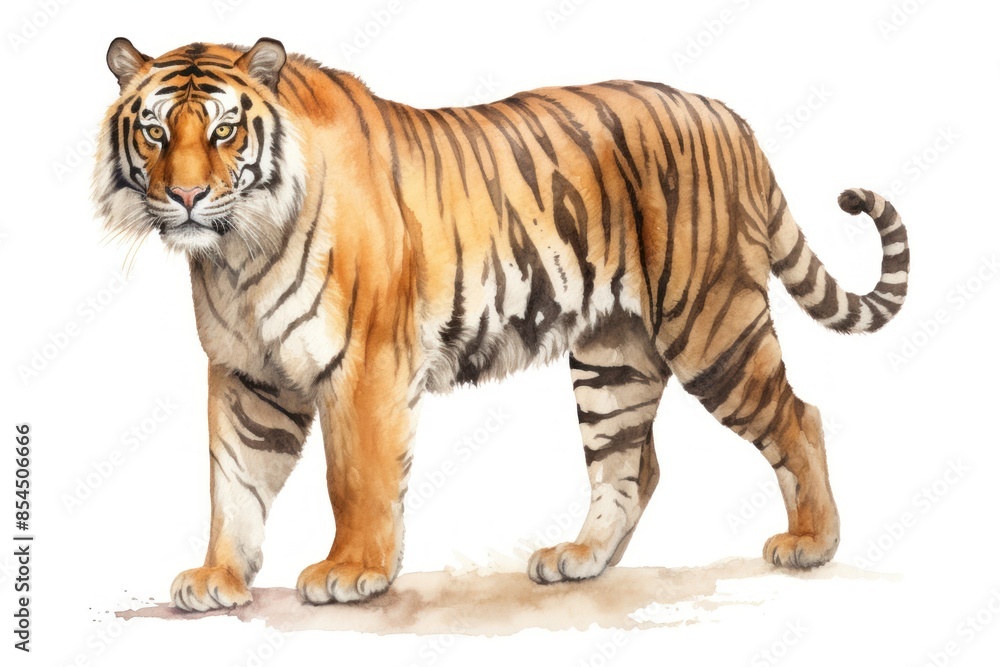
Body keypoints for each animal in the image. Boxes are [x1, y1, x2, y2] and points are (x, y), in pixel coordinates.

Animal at [94, 37, 909, 612]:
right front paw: (217, 577)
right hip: (614, 353)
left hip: (711, 324)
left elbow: (355, 476)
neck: (235, 254)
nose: (187, 197)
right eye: (156, 132)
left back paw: (811, 543)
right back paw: (578, 559)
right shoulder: (246, 374)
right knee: (631, 465)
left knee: (798, 416)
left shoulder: (365, 365)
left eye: (226, 131)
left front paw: (353, 570)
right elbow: (232, 481)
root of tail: (730, 118)